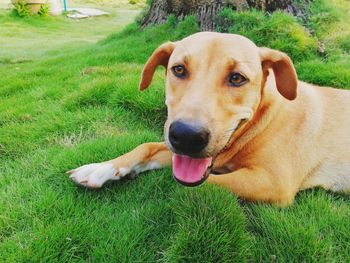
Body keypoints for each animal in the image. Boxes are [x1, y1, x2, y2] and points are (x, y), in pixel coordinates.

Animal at [68, 32, 350, 207]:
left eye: (237, 78)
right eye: (178, 69)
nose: (186, 137)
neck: (259, 121)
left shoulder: (273, 183)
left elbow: (194, 183)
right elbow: (145, 147)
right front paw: (102, 167)